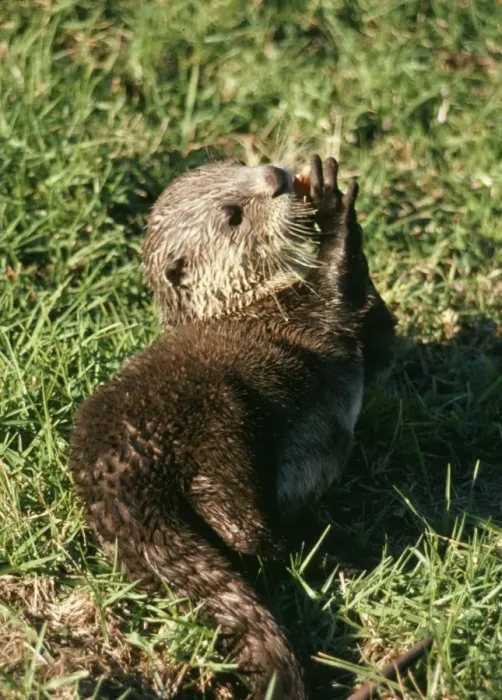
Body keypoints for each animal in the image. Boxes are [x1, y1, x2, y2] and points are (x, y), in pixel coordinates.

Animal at [69, 155, 396, 699]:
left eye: (236, 164)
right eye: (232, 214)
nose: (277, 176)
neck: (255, 299)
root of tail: (115, 479)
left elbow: (381, 337)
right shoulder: (314, 311)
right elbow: (340, 285)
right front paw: (330, 202)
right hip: (221, 425)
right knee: (247, 532)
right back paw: (343, 555)